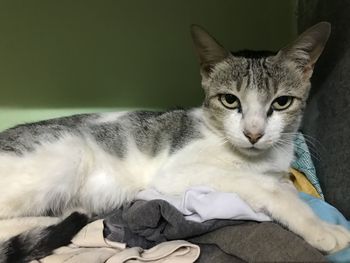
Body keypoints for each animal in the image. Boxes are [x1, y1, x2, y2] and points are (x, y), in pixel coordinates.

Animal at [0, 21, 350, 262]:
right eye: (230, 100)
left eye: (281, 103)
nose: (253, 133)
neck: (256, 159)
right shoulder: (178, 173)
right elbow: (265, 187)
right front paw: (323, 229)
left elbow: (283, 186)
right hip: (68, 152)